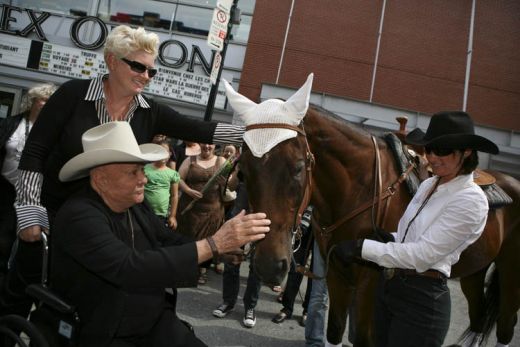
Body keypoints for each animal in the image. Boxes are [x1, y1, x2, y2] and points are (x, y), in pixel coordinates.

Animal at [240, 104, 520, 346]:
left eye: (298, 168)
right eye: (245, 171)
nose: (269, 265)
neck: (359, 189)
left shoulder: (370, 281)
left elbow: (365, 338)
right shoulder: (336, 271)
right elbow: (335, 330)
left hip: (509, 272)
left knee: (506, 324)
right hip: (475, 271)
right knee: (478, 318)